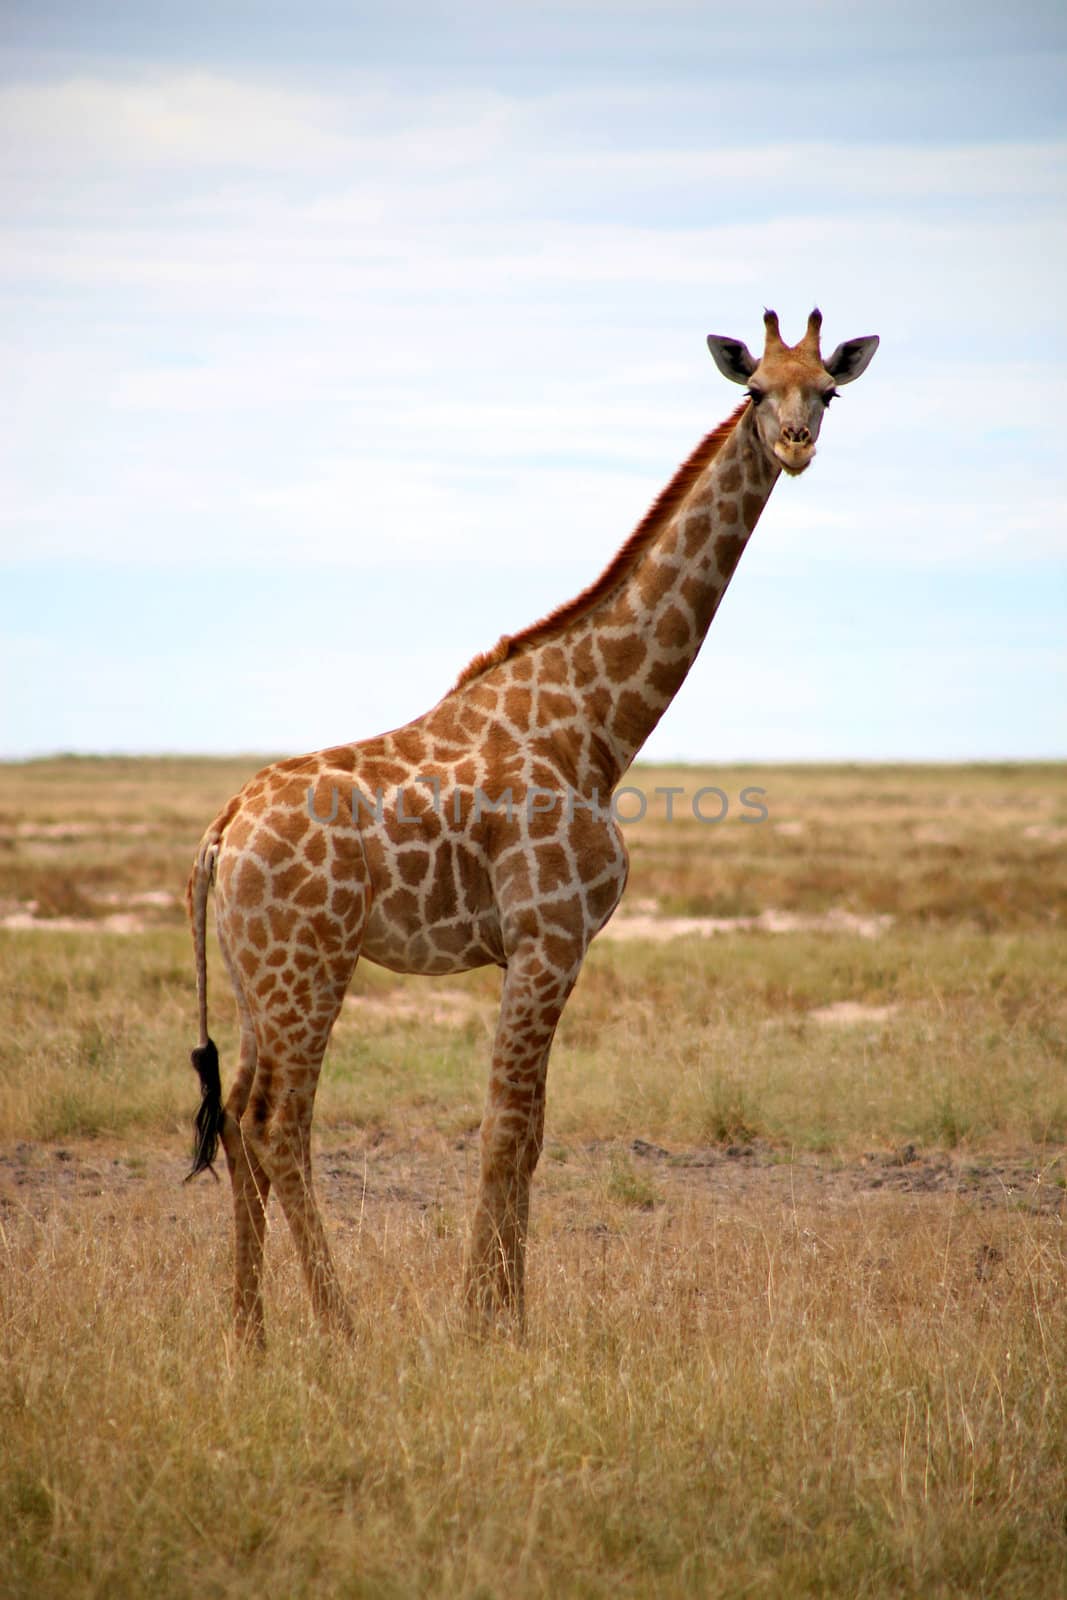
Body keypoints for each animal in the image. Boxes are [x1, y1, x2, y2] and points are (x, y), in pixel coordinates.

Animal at [187, 305, 883, 1344]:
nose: (796, 444)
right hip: (309, 966)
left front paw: (504, 1314)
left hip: (255, 974)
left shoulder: (549, 948)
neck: (596, 725)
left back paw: (249, 1334)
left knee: (236, 1117)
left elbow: (533, 1132)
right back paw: (340, 1326)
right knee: (279, 1127)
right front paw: (488, 1324)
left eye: (828, 391)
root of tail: (221, 832)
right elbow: (507, 1131)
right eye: (756, 389)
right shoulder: (547, 936)